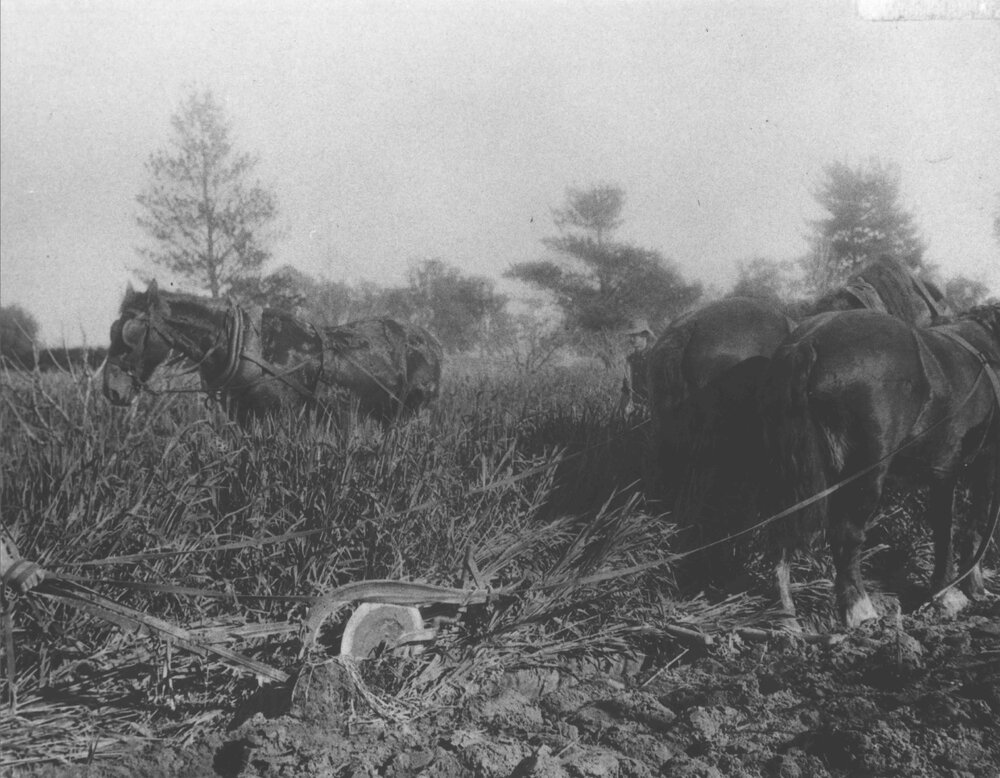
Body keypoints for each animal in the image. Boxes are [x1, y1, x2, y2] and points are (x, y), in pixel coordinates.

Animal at [102, 281, 443, 427]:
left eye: (131, 334)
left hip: (416, 412)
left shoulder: (278, 418)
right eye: (113, 329)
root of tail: (430, 340)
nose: (111, 390)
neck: (242, 345)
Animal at [760, 305, 1000, 627]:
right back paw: (860, 611)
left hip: (791, 475)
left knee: (783, 533)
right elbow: (962, 527)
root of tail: (806, 344)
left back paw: (785, 612)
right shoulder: (970, 467)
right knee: (847, 536)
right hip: (867, 473)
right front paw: (957, 591)